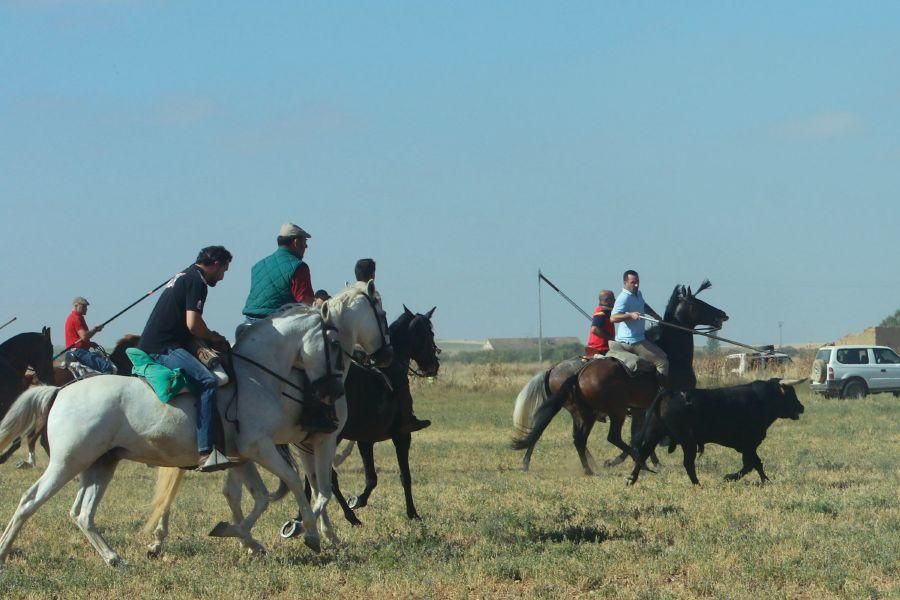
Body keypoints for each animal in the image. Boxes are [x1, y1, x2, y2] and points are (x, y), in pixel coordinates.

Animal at [0, 282, 390, 568]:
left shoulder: (245, 455)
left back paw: (115, 558)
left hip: (100, 464)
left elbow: (260, 496)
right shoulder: (264, 447)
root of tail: (59, 390)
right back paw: (6, 549)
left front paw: (242, 536)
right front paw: (306, 534)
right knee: (31, 499)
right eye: (334, 343)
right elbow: (294, 484)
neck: (261, 376)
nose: (332, 393)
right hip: (69, 462)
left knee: (82, 513)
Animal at [280, 304, 438, 536]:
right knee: (328, 476)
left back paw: (303, 518)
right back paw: (350, 518)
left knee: (316, 476)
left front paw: (358, 500)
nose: (434, 366)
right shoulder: (402, 436)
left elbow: (371, 477)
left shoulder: (365, 439)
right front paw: (413, 514)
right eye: (429, 333)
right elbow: (404, 476)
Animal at [510, 284, 728, 476]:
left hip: (587, 412)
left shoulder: (640, 410)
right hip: (614, 411)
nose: (722, 314)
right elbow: (640, 438)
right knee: (608, 437)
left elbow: (638, 436)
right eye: (698, 303)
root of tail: (575, 372)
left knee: (577, 438)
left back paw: (590, 468)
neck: (673, 353)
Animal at [624, 380, 808, 488]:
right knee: (688, 463)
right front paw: (730, 477)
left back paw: (631, 479)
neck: (762, 399)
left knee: (643, 455)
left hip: (653, 435)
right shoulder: (749, 444)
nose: (802, 407)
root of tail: (670, 392)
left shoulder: (749, 446)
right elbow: (751, 464)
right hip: (687, 441)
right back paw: (698, 484)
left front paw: (765, 480)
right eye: (790, 395)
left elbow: (756, 463)